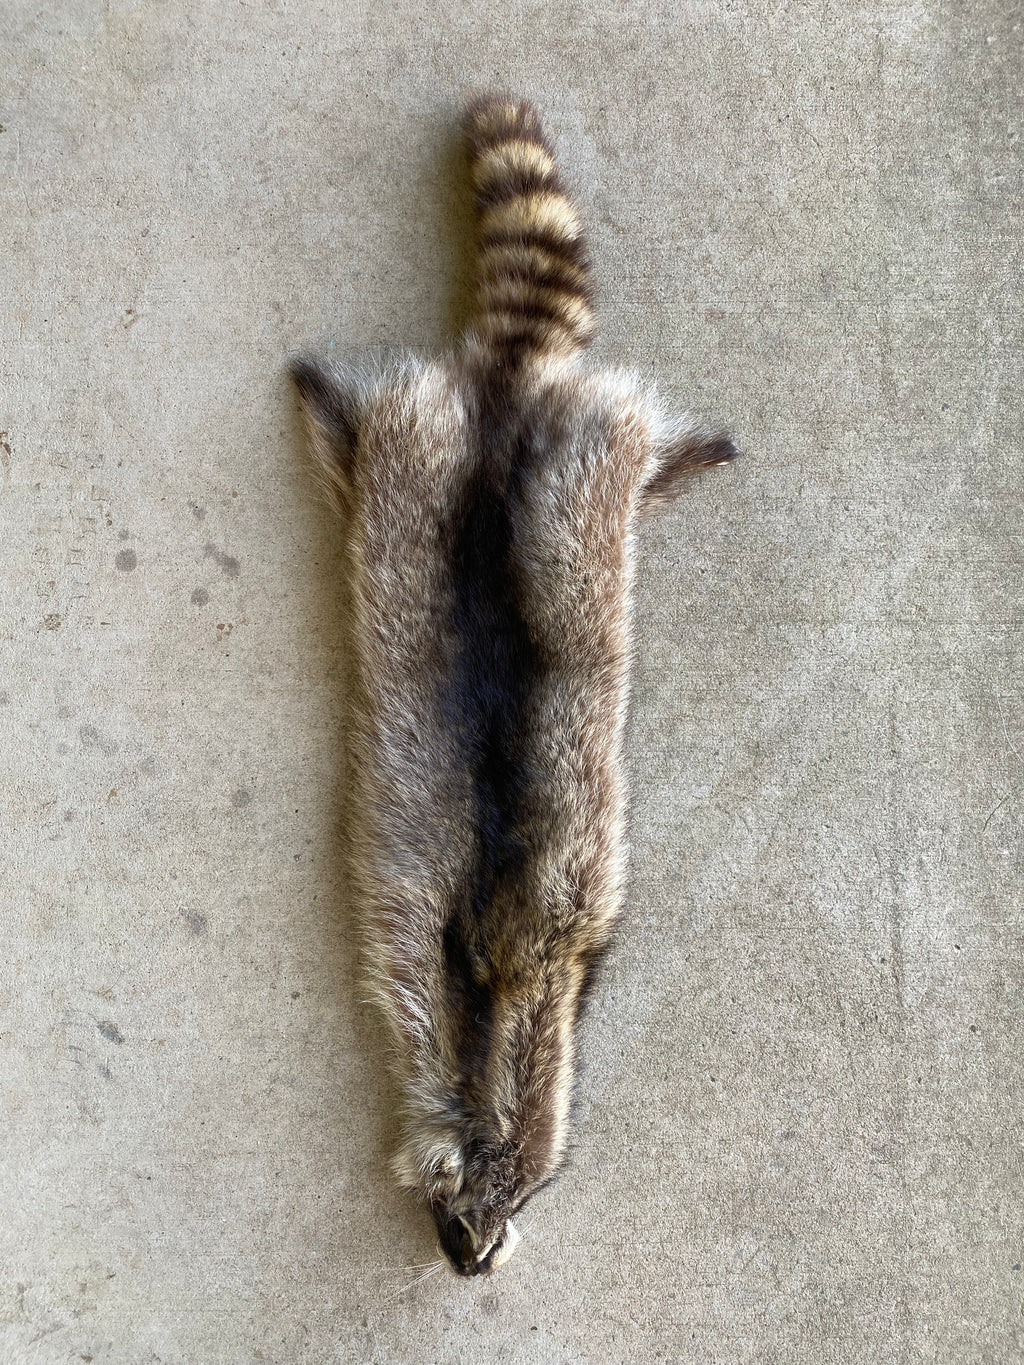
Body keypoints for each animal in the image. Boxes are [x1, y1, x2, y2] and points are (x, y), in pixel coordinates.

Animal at [292, 95, 737, 1277]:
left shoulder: (552, 943)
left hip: (534, 464)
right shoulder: (425, 940)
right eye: (459, 1215)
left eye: (506, 1209)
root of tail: (508, 389)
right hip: (439, 454)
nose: (471, 1263)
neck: (497, 1010)